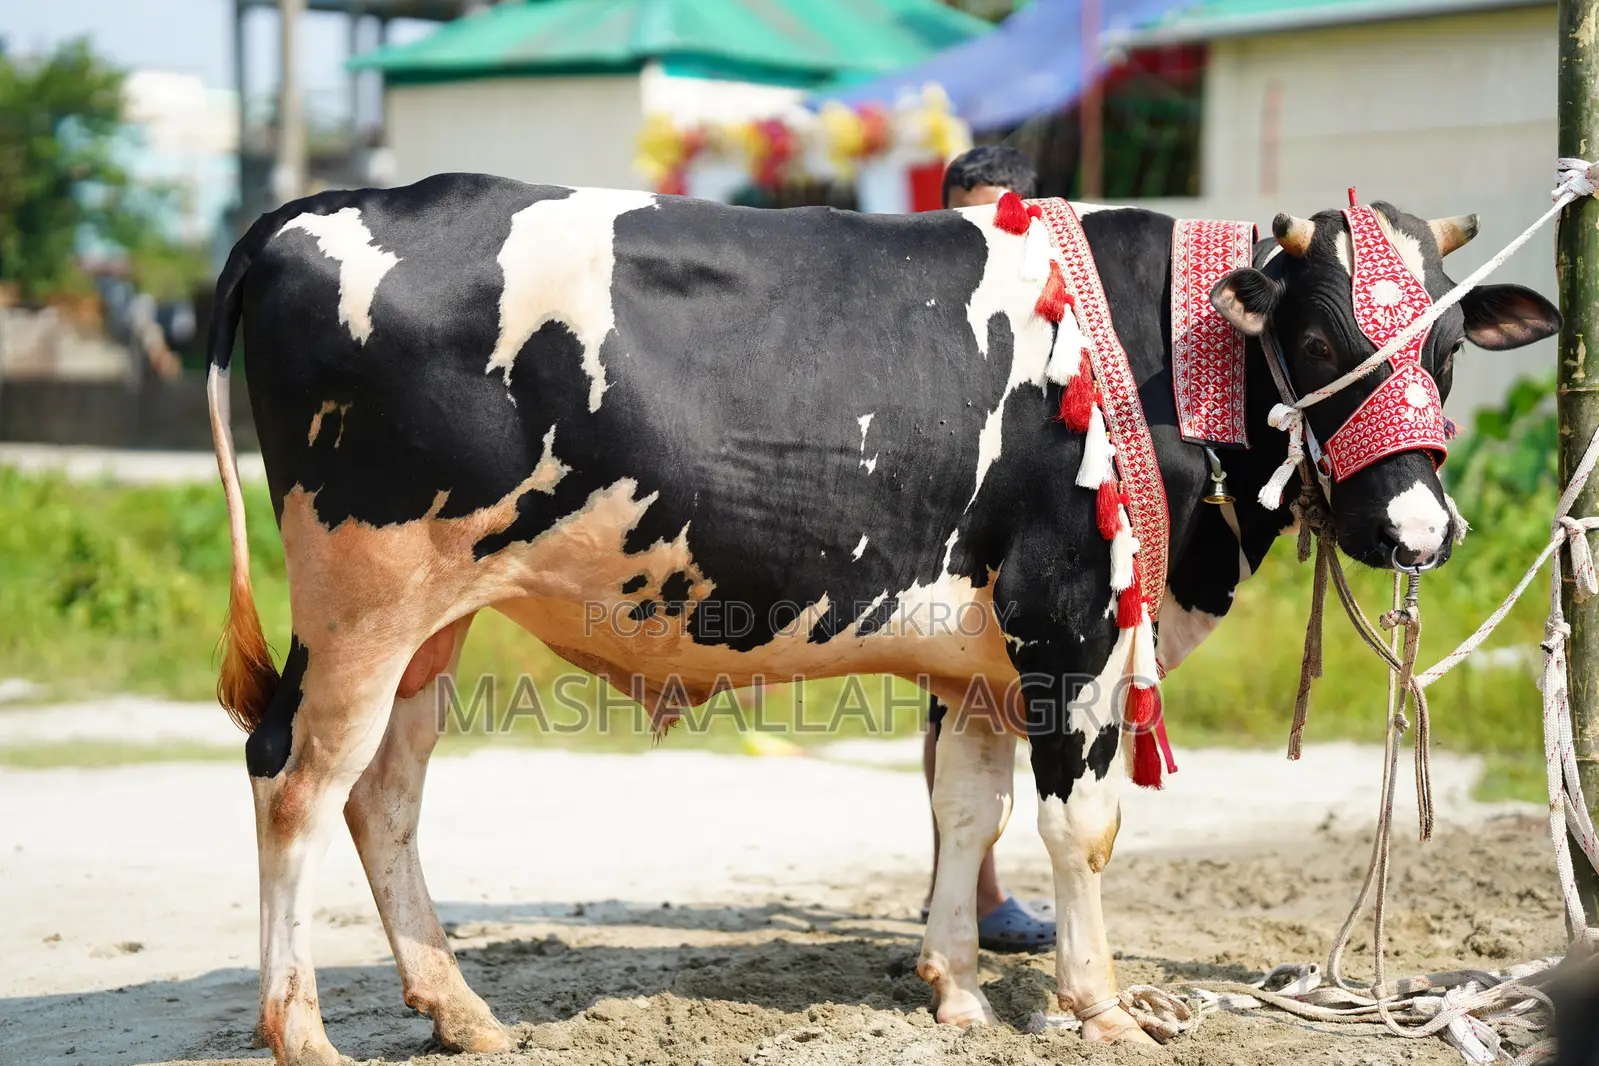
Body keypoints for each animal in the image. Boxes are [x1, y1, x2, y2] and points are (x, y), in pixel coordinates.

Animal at [204, 175, 1560, 1064]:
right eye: (1321, 335)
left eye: (1448, 345)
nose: (1424, 528)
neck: (1158, 348)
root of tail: (311, 209)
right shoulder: (1070, 620)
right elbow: (1083, 827)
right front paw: (1101, 1006)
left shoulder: (980, 654)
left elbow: (967, 807)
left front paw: (956, 991)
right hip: (365, 596)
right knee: (295, 779)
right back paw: (301, 1030)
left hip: (431, 616)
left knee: (384, 793)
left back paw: (461, 1010)